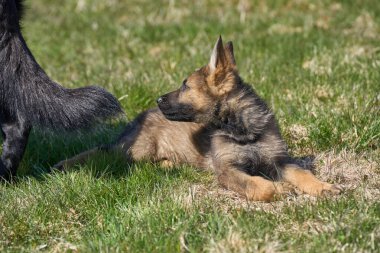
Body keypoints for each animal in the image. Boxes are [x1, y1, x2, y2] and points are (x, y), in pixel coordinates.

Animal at [55, 36, 342, 201]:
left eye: (186, 86)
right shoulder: (228, 170)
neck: (242, 130)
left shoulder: (280, 160)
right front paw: (279, 189)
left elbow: (302, 173)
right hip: (135, 151)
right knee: (105, 152)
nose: (158, 99)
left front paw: (323, 187)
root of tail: (140, 117)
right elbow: (257, 185)